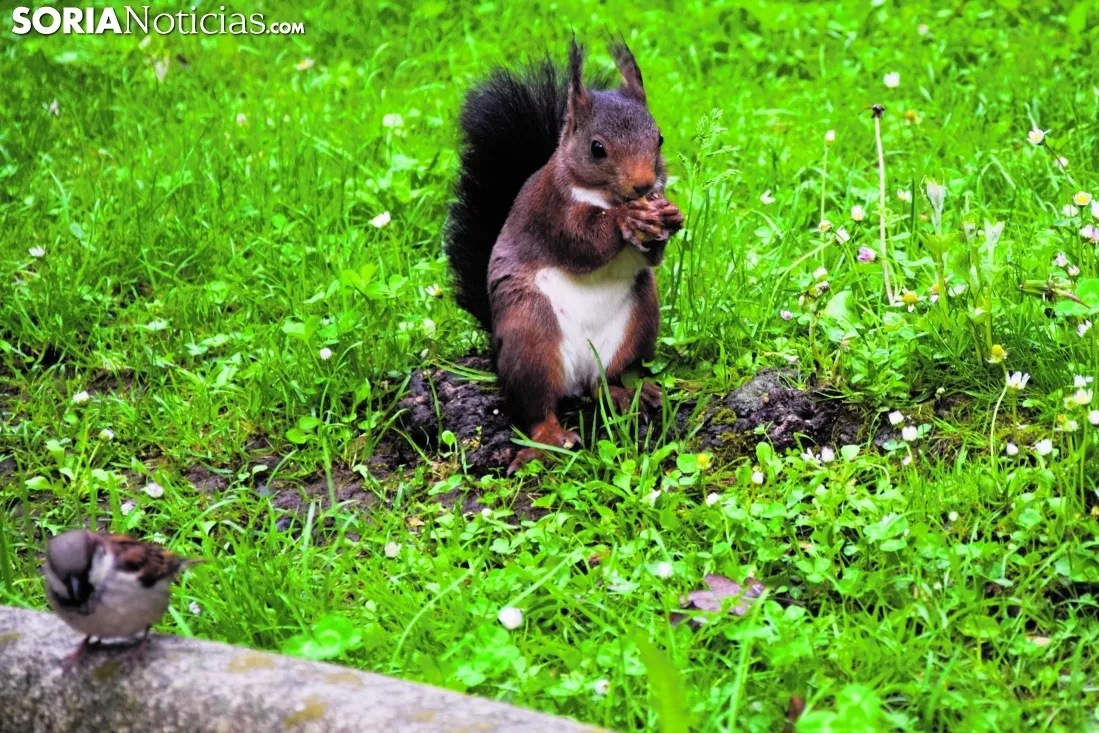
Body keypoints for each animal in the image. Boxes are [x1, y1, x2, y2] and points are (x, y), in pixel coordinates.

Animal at [445, 40, 683, 474]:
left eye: (658, 138)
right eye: (597, 148)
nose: (644, 184)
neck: (604, 197)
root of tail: (579, 376)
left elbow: (652, 258)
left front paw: (670, 215)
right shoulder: (551, 210)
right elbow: (581, 243)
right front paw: (625, 220)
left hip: (640, 320)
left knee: (605, 383)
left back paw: (629, 393)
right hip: (530, 333)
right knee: (537, 407)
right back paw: (548, 439)